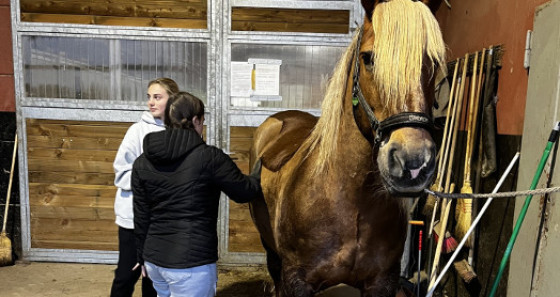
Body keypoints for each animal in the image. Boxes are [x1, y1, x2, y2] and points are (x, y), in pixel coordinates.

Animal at [249, 1, 446, 294]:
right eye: (368, 58)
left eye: (432, 61)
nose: (413, 162)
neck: (352, 201)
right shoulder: (297, 281)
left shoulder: (381, 283)